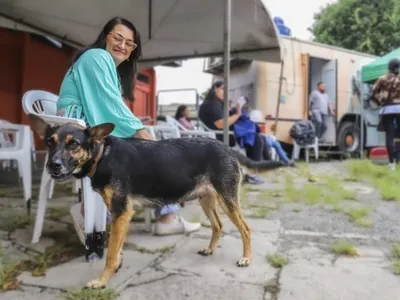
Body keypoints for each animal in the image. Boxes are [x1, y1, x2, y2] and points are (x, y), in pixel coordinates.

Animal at [28, 112, 286, 288]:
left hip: (227, 199)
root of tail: (226, 146)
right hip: (207, 200)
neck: (103, 155)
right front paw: (115, 268)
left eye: (74, 144)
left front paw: (101, 281)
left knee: (245, 228)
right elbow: (117, 248)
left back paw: (246, 258)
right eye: (50, 142)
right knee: (218, 225)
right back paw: (210, 250)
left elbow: (110, 254)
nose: (53, 165)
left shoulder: (122, 212)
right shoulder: (122, 215)